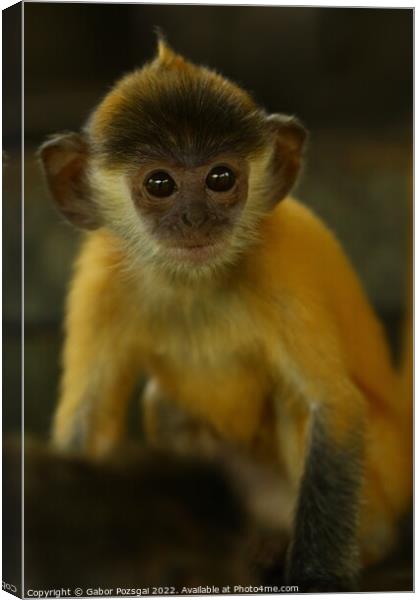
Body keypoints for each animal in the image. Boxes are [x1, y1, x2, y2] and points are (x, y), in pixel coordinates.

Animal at [40, 41, 414, 592]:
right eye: (160, 183)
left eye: (221, 178)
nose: (196, 218)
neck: (192, 282)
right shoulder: (99, 279)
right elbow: (85, 427)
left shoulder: (281, 265)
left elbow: (334, 408)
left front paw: (318, 579)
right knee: (165, 403)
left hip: (378, 483)